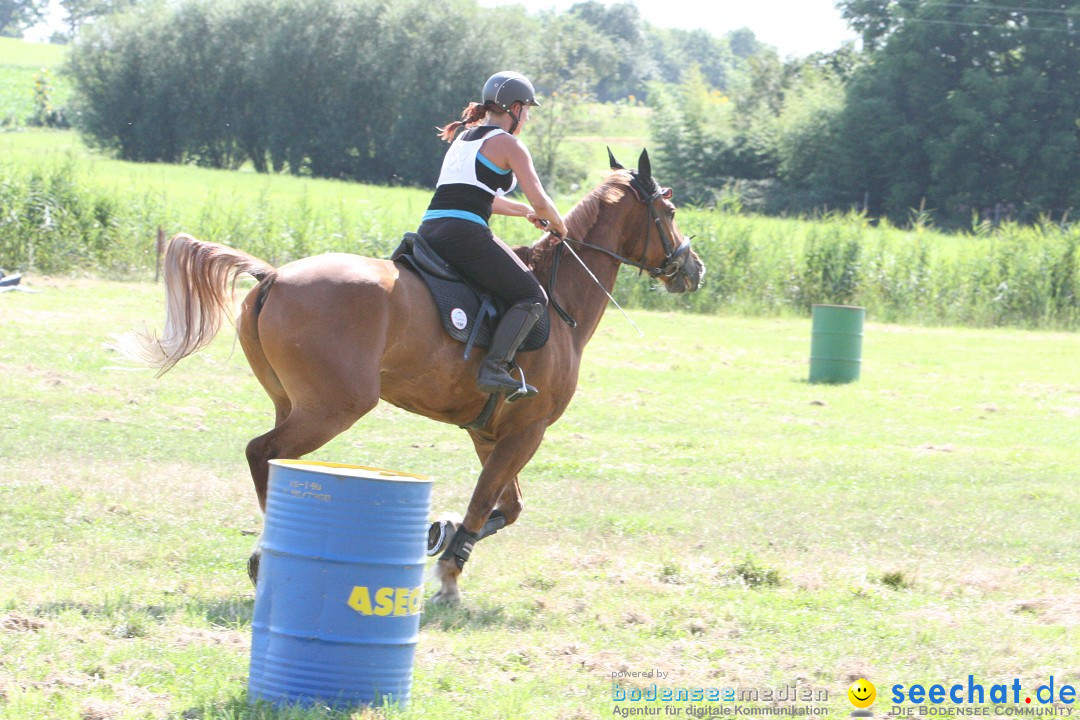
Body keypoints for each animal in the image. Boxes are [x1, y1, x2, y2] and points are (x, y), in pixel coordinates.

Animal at [116, 147, 699, 604]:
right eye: (668, 209)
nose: (694, 269)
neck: (560, 304)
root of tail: (275, 275)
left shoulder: (492, 433)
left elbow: (505, 507)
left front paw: (439, 534)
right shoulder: (526, 431)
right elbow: (485, 504)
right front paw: (449, 574)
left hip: (295, 403)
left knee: (277, 458)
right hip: (335, 407)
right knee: (263, 452)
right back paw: (265, 553)